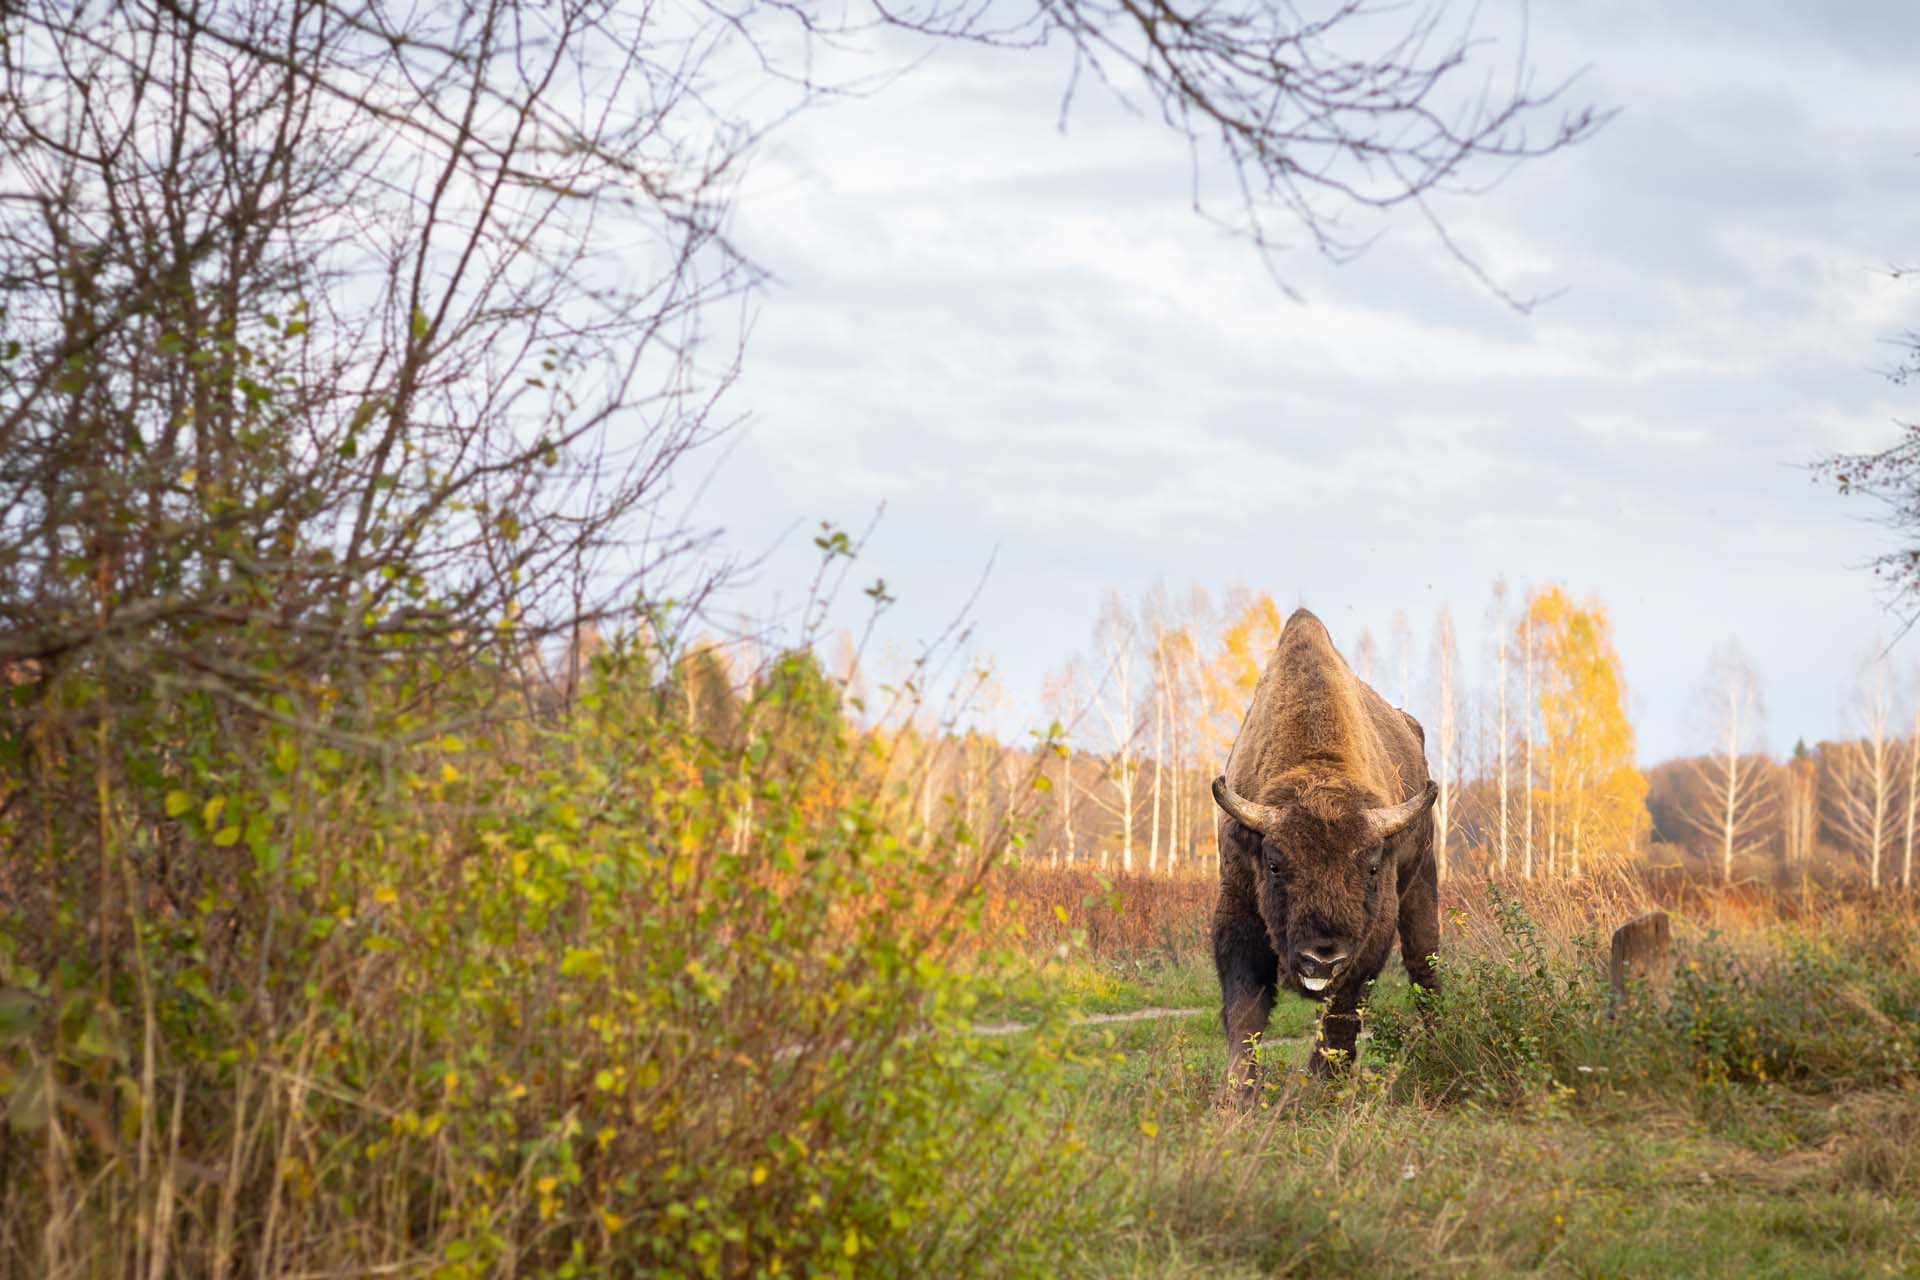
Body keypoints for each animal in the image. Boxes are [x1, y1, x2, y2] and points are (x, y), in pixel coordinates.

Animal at [1205, 610, 1436, 1090]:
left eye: (1371, 867)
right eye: (1275, 864)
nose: (1321, 959)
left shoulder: (1373, 933)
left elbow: (1342, 1015)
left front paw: (1324, 1086)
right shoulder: (1238, 909)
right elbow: (1246, 1011)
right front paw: (1237, 1093)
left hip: (1423, 882)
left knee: (1424, 964)